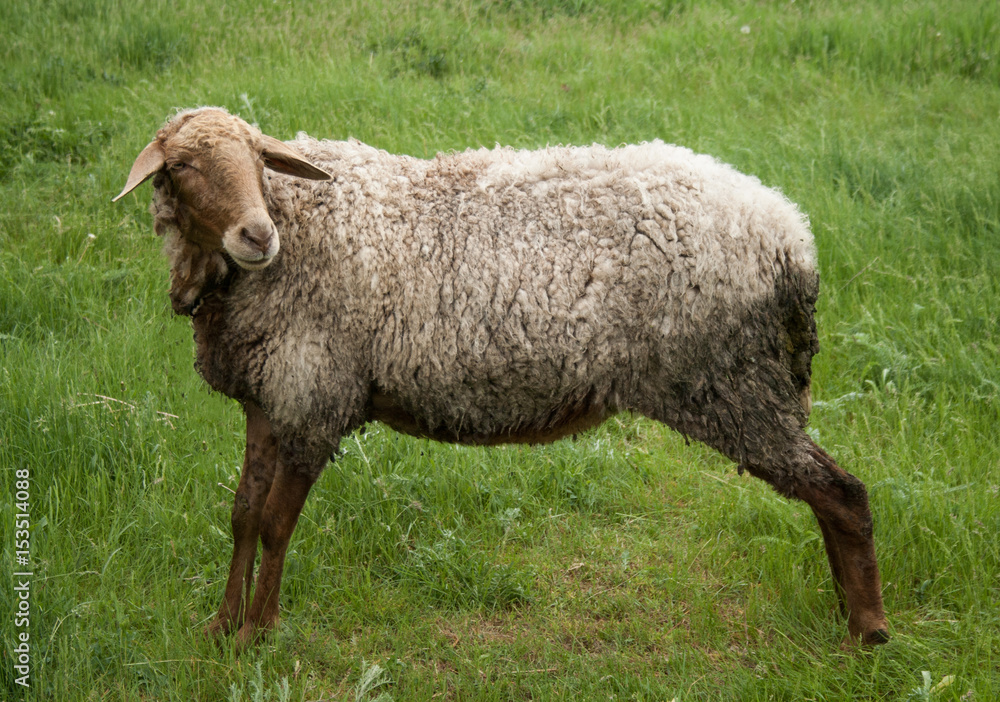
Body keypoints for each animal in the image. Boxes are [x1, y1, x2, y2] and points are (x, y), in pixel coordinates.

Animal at [114, 107, 889, 649]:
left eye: (255, 159)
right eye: (183, 168)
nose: (257, 236)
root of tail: (792, 236)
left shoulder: (314, 394)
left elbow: (277, 523)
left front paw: (258, 633)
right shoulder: (268, 398)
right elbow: (243, 515)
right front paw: (220, 628)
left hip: (731, 385)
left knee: (842, 493)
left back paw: (867, 630)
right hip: (744, 386)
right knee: (829, 494)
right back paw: (850, 615)